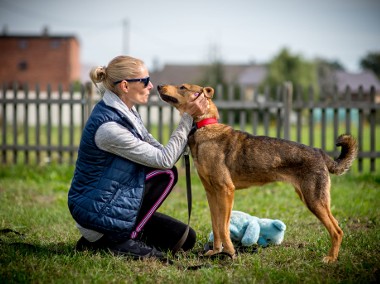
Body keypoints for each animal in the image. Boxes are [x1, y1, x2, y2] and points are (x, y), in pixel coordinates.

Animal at [157, 83, 356, 262]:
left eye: (183, 87)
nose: (159, 86)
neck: (204, 127)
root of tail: (320, 153)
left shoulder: (226, 190)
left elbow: (223, 227)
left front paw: (230, 254)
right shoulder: (211, 192)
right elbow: (216, 226)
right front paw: (215, 253)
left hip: (315, 201)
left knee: (337, 230)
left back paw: (330, 258)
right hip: (310, 198)